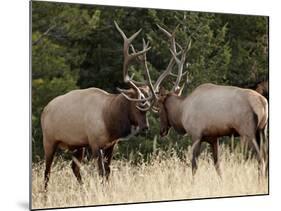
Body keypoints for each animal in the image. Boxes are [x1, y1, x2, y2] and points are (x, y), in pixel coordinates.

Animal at [41, 21, 155, 190]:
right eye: (138, 105)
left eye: (147, 109)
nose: (145, 127)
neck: (110, 119)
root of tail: (44, 111)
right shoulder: (95, 143)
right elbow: (101, 173)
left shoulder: (110, 145)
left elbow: (107, 173)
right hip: (49, 140)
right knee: (47, 171)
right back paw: (46, 193)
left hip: (77, 145)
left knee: (74, 167)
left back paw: (82, 189)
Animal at [143, 24, 268, 176]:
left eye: (159, 108)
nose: (161, 131)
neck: (182, 112)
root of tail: (263, 103)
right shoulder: (213, 138)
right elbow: (217, 165)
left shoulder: (196, 134)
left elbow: (194, 165)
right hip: (262, 131)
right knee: (265, 158)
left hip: (248, 131)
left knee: (260, 159)